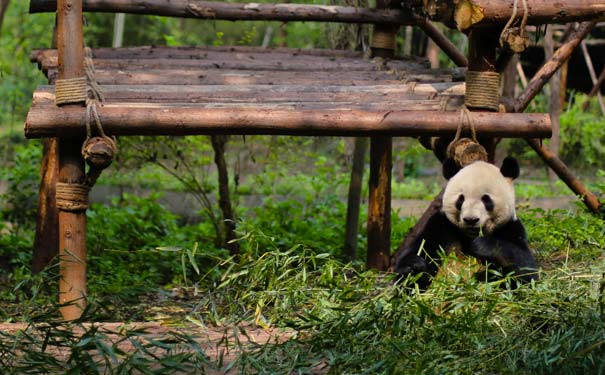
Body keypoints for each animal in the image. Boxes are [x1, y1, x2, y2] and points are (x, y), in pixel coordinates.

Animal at [392, 157, 536, 290]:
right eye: (461, 199)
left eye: (486, 199)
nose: (470, 219)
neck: (469, 236)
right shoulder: (441, 226)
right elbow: (422, 250)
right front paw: (413, 266)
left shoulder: (510, 227)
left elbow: (526, 271)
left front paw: (482, 246)